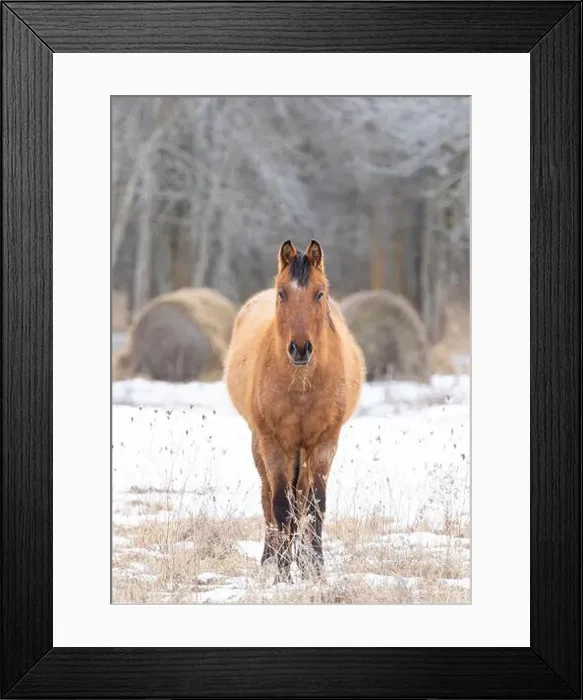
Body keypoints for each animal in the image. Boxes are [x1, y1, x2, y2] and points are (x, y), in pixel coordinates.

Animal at [224, 239, 365, 583]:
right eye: (282, 293)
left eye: (319, 293)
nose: (300, 348)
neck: (301, 387)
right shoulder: (275, 444)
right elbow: (279, 505)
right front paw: (282, 575)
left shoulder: (324, 443)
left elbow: (314, 507)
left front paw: (316, 572)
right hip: (262, 445)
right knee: (268, 499)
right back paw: (271, 559)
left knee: (300, 499)